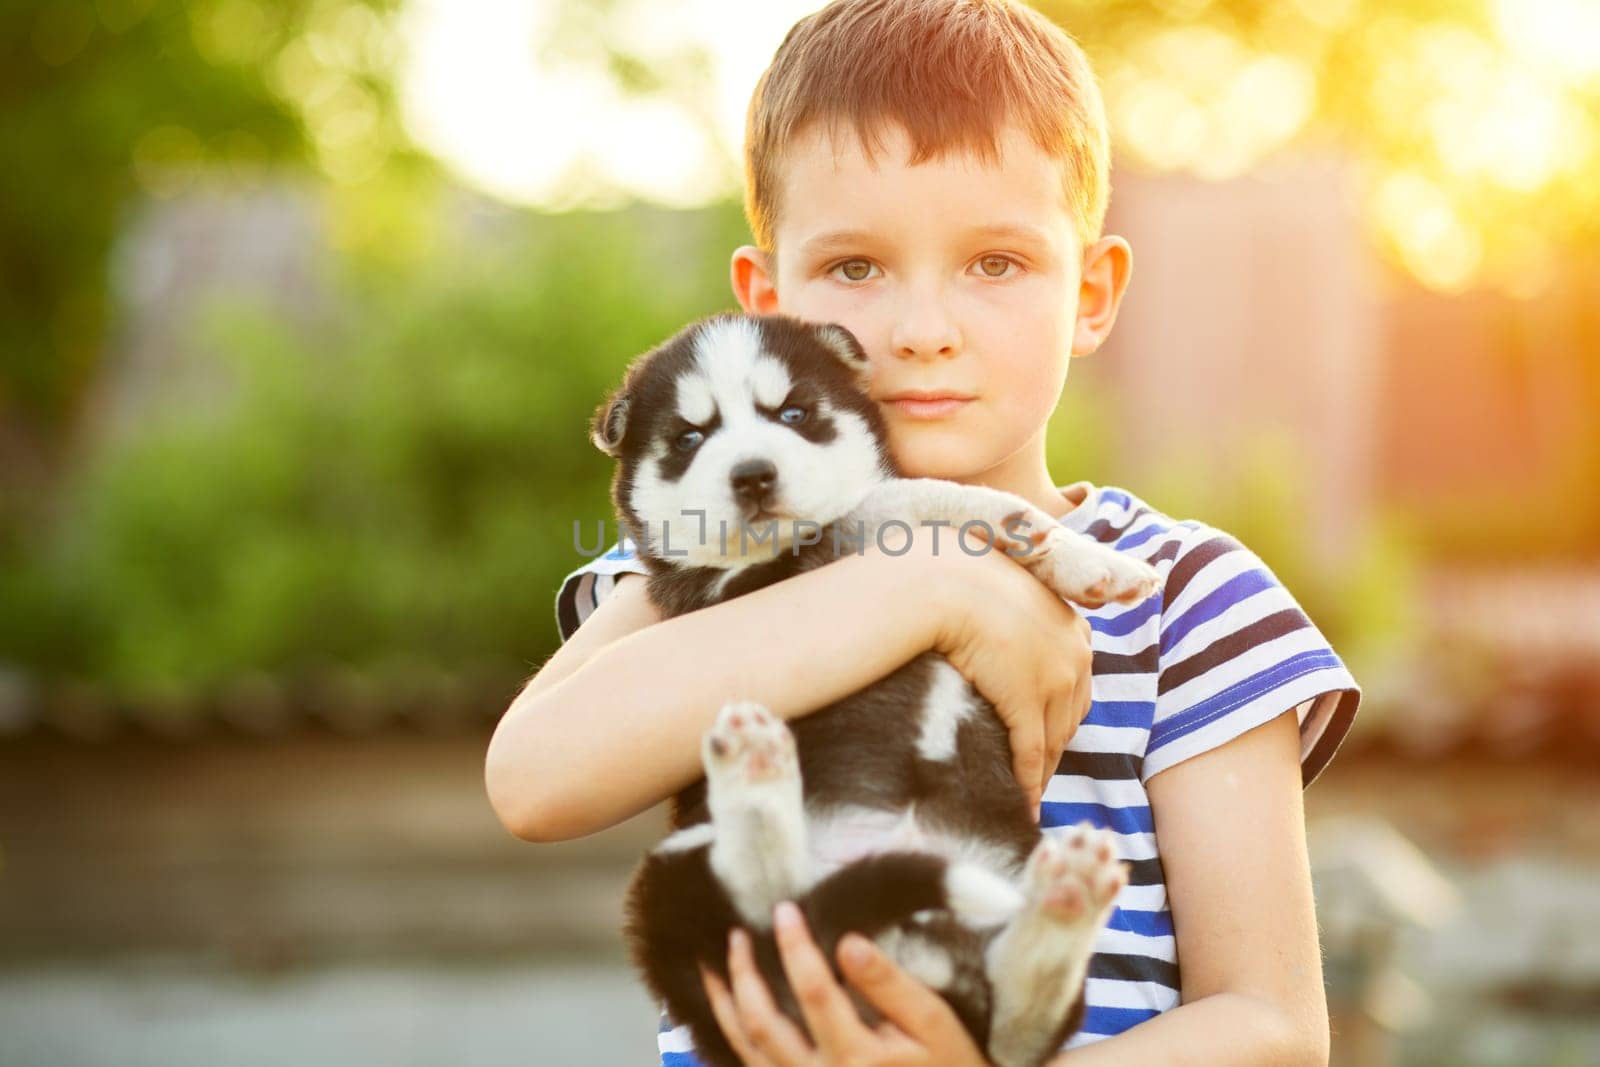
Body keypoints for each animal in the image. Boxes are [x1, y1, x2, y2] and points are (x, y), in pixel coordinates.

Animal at [598, 310, 1164, 1067]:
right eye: (690, 437)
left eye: (794, 412)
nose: (752, 475)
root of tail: (904, 954)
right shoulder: (731, 590)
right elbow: (888, 502)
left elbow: (927, 495)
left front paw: (1084, 557)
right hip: (669, 878)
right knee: (769, 923)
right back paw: (755, 772)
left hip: (1008, 875)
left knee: (1012, 1025)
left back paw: (1064, 898)